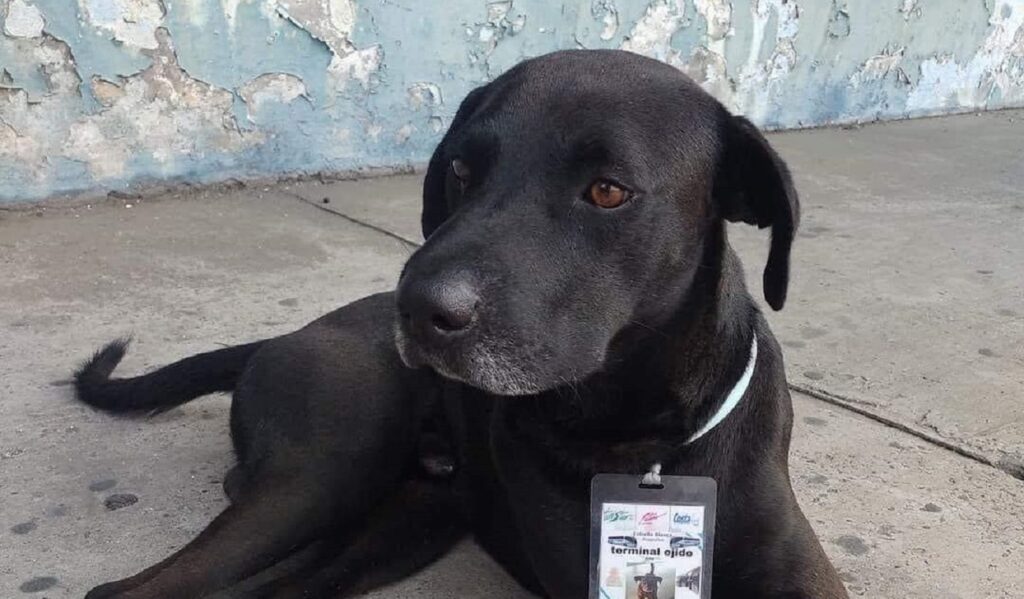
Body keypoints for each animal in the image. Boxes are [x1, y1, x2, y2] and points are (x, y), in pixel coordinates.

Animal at [75, 52, 847, 597]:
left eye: (607, 190)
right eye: (461, 170)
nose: (418, 308)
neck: (645, 442)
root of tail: (284, 337)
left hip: (406, 523)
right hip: (323, 470)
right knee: (126, 590)